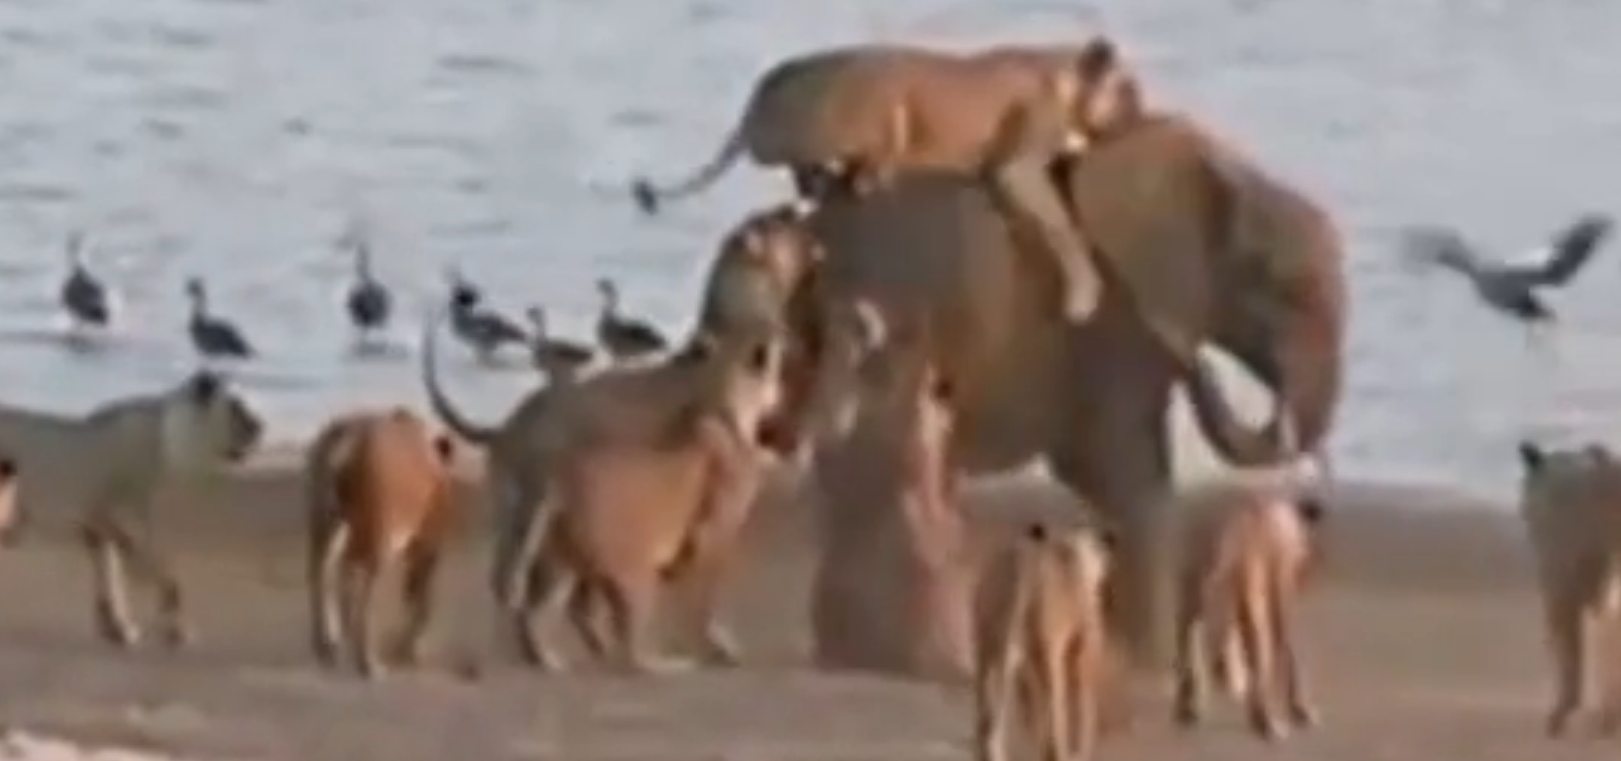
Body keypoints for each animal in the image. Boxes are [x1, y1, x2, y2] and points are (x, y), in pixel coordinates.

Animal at [631, 38, 1145, 322]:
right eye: (1129, 89)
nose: (1142, 111)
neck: (1068, 76)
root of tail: (761, 92)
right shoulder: (1017, 164)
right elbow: (1062, 226)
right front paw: (1084, 297)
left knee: (820, 185)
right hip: (877, 108)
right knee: (838, 176)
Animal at [766, 113, 1347, 671]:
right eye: (1290, 291)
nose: (1194, 360)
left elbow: (1099, 473)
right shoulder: (1116, 318)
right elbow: (1128, 473)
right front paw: (1146, 666)